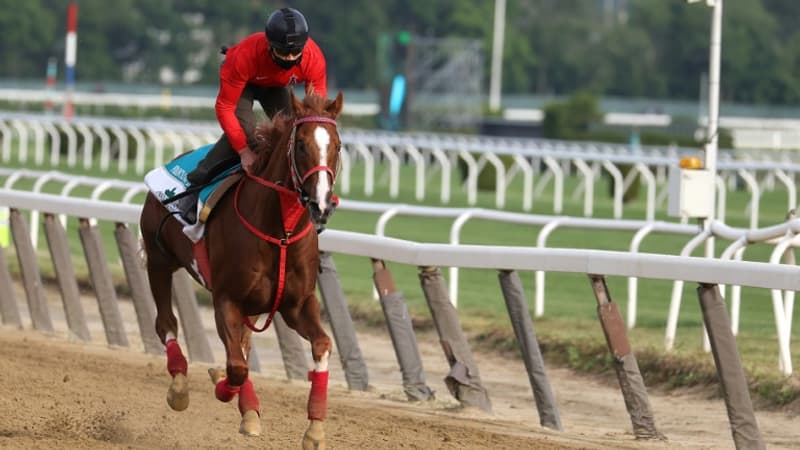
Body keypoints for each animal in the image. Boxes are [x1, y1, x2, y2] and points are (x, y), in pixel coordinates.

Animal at [139, 91, 343, 449]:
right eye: (301, 145)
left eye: (338, 146)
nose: (321, 204)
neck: (280, 232)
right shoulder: (227, 299)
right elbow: (237, 367)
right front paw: (227, 390)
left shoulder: (297, 305)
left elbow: (321, 345)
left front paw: (315, 428)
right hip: (159, 258)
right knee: (166, 323)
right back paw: (180, 386)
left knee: (243, 343)